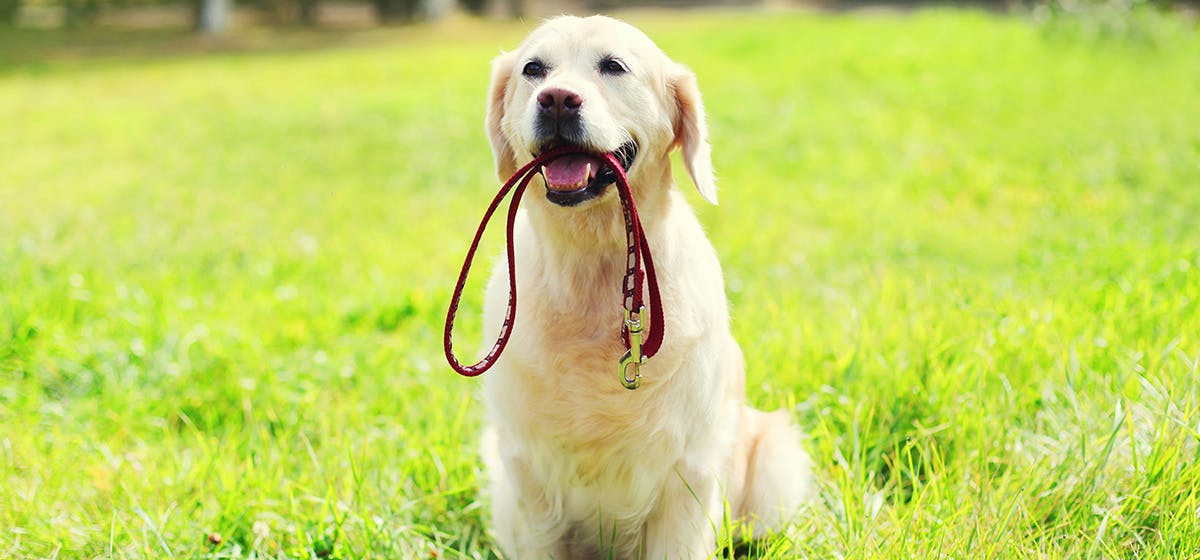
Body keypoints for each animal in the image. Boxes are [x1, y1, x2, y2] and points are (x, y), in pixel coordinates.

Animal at [477, 15, 816, 558]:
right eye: (533, 69)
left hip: (773, 460)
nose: (556, 99)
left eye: (614, 66)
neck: (595, 271)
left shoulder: (689, 470)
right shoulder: (527, 475)